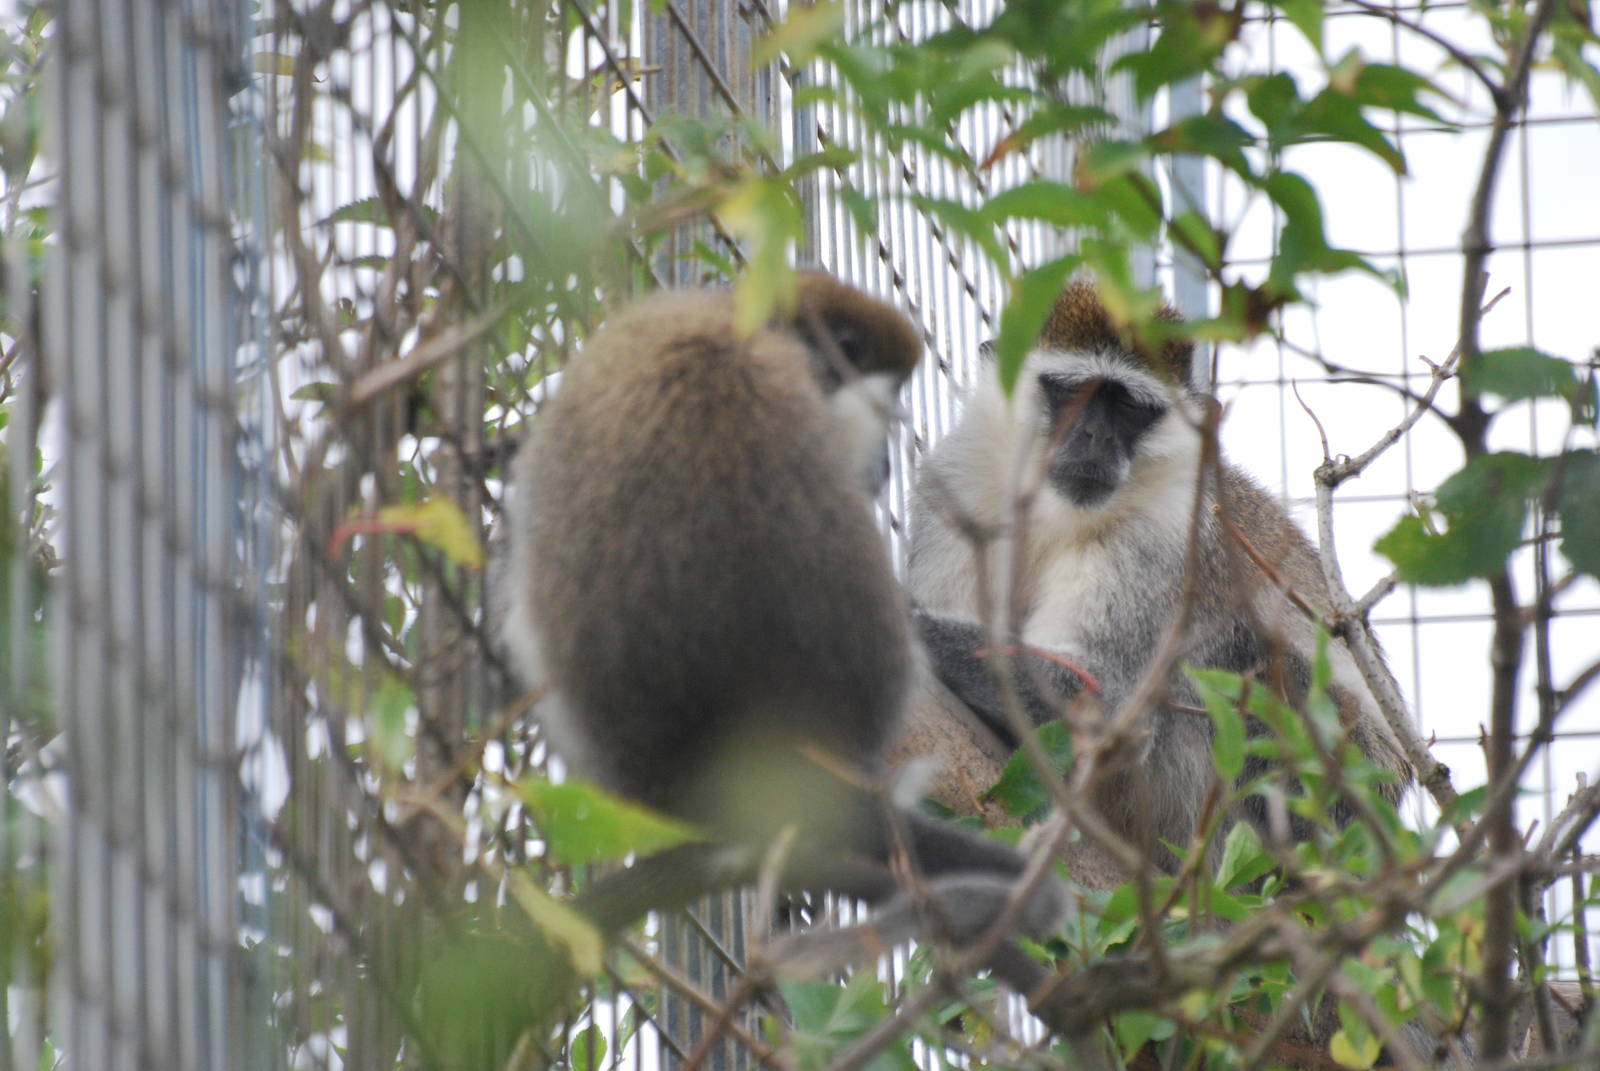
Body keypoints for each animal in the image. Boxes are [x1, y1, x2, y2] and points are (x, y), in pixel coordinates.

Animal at [907, 278, 1412, 869]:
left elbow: (1107, 700)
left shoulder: (1163, 537)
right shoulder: (958, 486)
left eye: (1128, 406)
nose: (1095, 439)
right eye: (1071, 392)